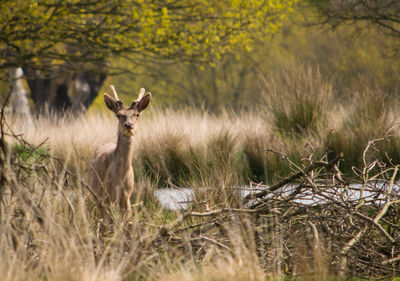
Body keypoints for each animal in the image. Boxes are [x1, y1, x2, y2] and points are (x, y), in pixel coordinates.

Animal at [90, 84, 152, 220]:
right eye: (118, 115)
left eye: (137, 114)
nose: (128, 125)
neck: (118, 180)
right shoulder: (105, 199)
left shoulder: (127, 199)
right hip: (96, 196)